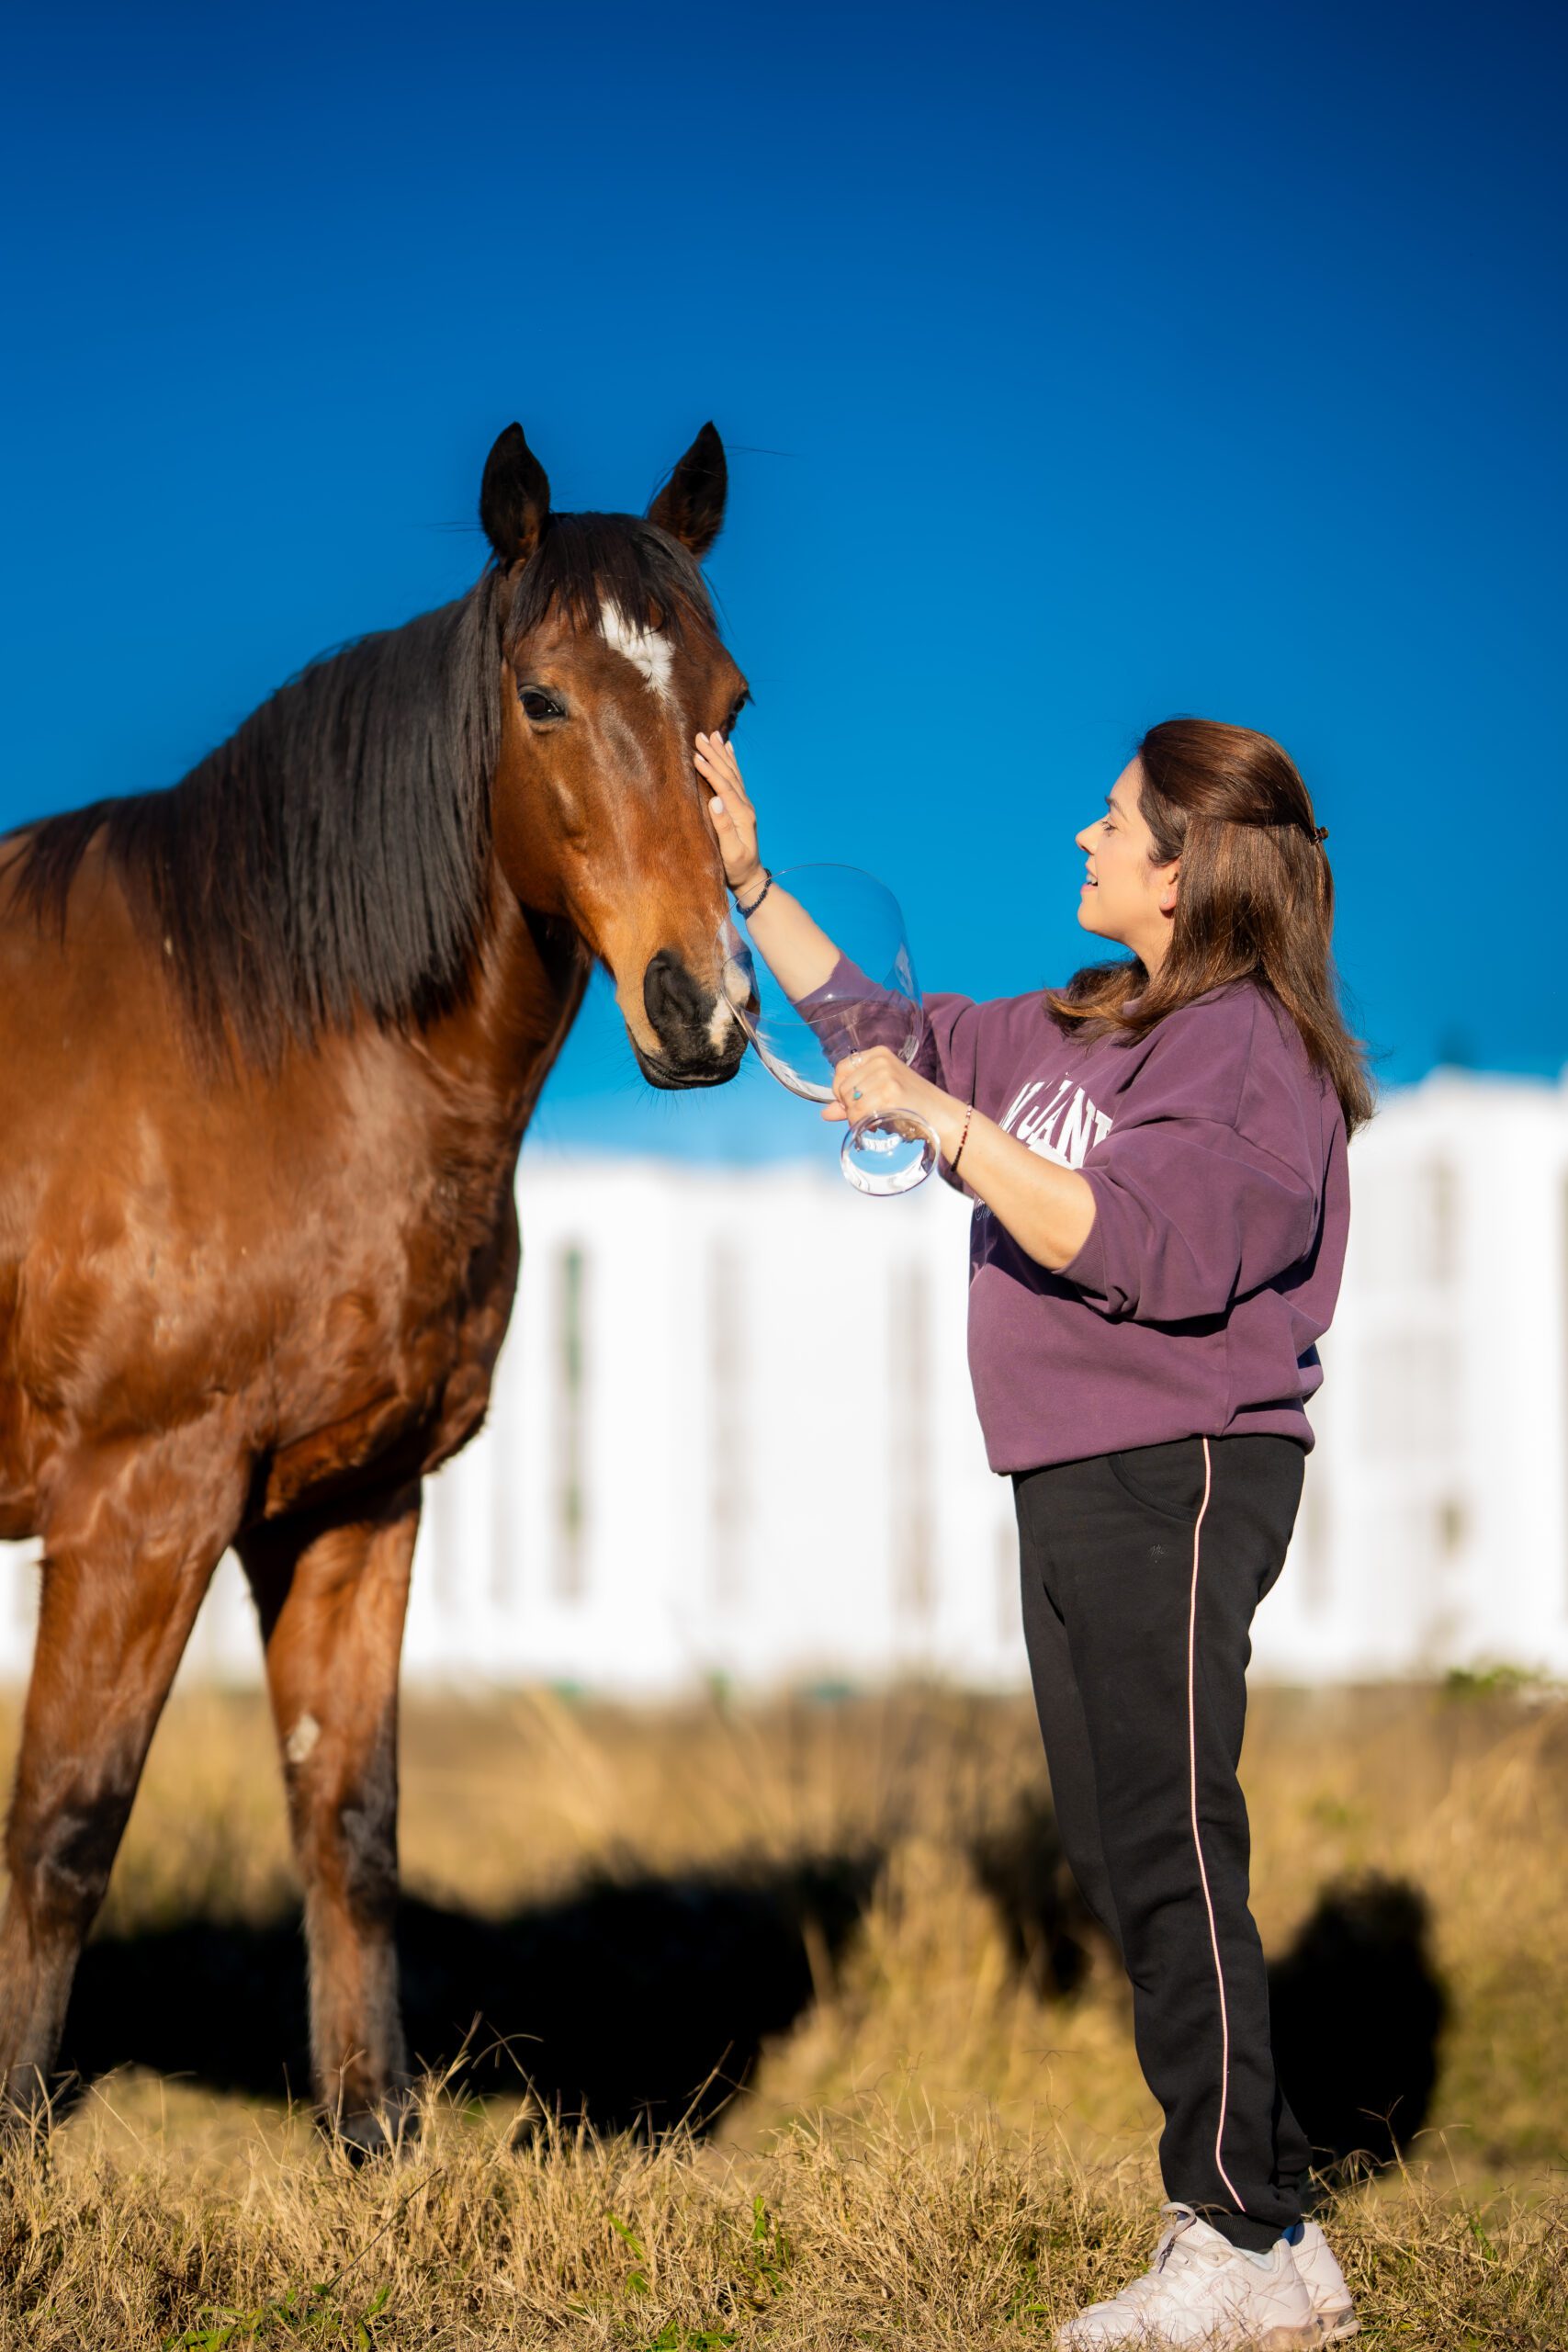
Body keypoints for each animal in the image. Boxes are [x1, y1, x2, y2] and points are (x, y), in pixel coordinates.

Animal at [0, 419, 749, 2149]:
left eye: (729, 704)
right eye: (540, 698)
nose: (702, 1009)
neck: (268, 1055)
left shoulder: (348, 1505)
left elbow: (349, 1815)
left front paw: (373, 2132)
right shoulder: (138, 1506)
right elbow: (65, 1824)